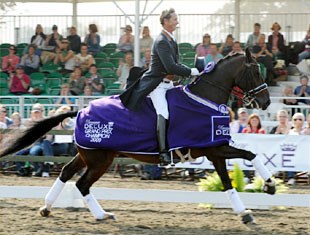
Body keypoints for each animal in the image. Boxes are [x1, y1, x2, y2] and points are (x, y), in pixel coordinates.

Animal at [0, 48, 276, 224]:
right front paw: (270, 186)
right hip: (100, 159)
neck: (205, 98)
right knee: (82, 184)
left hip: (89, 154)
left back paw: (48, 208)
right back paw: (101, 216)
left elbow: (228, 182)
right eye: (255, 72)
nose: (265, 102)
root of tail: (82, 109)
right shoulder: (215, 148)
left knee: (67, 173)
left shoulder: (214, 149)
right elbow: (251, 155)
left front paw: (245, 212)